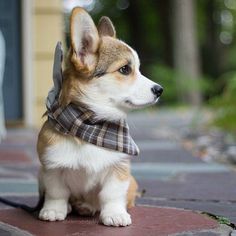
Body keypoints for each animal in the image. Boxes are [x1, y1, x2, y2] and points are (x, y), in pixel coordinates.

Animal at [37, 7, 163, 227]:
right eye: (125, 69)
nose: (159, 90)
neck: (91, 124)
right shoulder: (51, 167)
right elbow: (57, 193)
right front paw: (53, 210)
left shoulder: (119, 169)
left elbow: (111, 194)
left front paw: (115, 214)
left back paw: (87, 206)